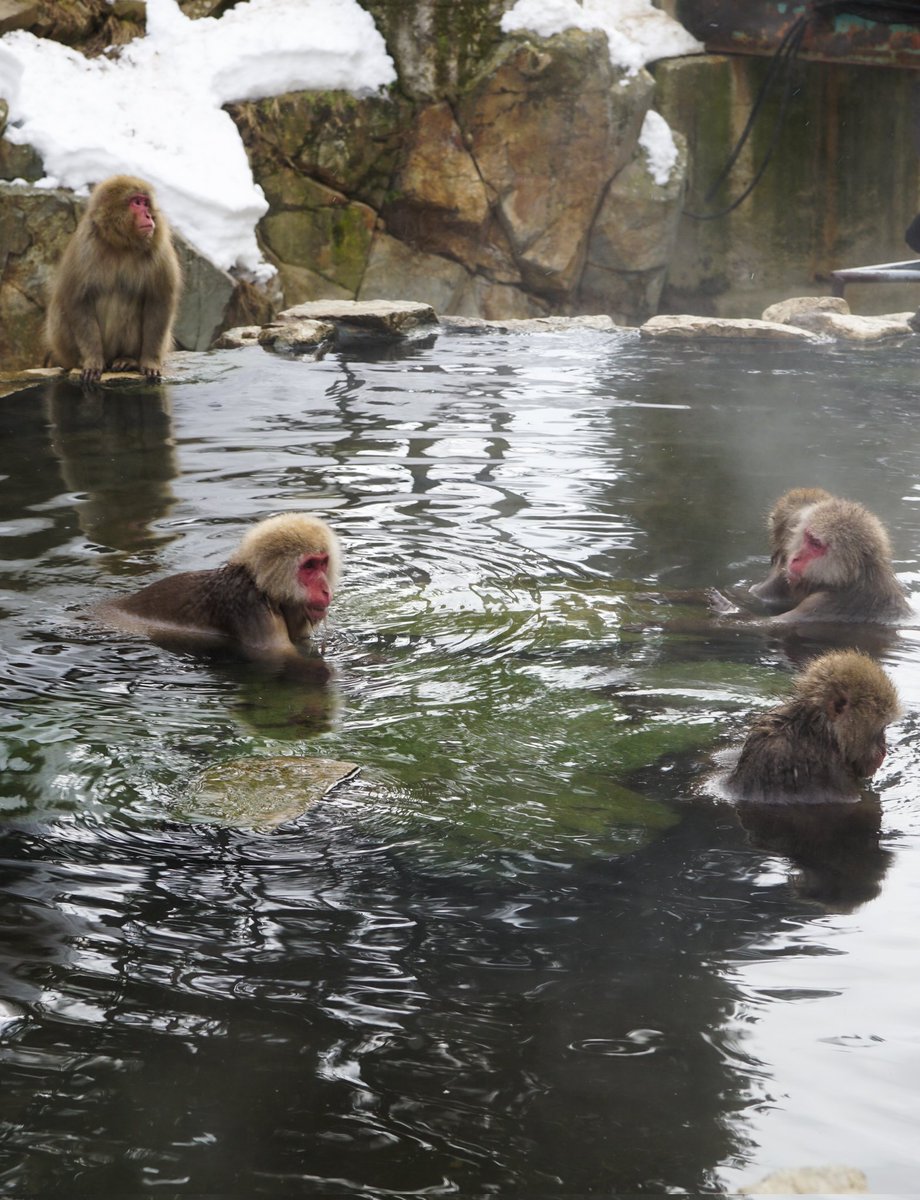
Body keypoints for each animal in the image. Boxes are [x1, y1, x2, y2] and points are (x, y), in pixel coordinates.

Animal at [46, 175, 182, 384]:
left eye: (146, 203)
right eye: (136, 202)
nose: (149, 216)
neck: (121, 245)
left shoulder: (161, 251)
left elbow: (159, 301)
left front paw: (149, 362)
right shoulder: (85, 247)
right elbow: (78, 300)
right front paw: (92, 360)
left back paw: (128, 359)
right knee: (60, 311)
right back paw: (82, 360)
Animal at [93, 513, 340, 669]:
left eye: (322, 563)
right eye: (309, 566)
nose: (325, 590)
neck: (264, 589)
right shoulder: (250, 606)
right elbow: (279, 659)